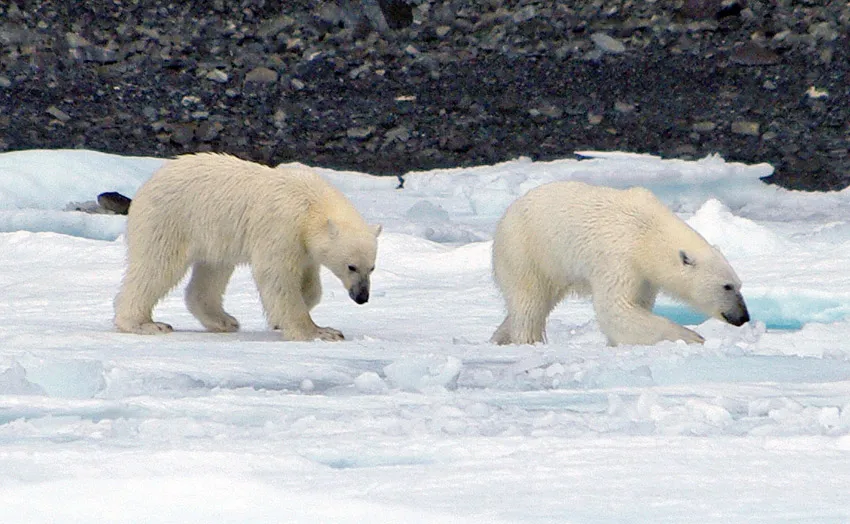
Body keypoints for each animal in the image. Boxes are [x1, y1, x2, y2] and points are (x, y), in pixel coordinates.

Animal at [113, 153, 381, 341]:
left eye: (372, 268)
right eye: (351, 266)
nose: (362, 297)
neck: (311, 204)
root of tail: (146, 184)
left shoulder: (303, 244)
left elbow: (310, 283)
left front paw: (283, 317)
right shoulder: (281, 227)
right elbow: (276, 275)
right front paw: (319, 332)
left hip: (213, 235)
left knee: (212, 272)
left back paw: (223, 321)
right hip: (170, 220)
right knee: (157, 266)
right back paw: (144, 324)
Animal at [490, 181, 749, 346]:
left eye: (739, 285)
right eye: (727, 286)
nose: (743, 317)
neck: (647, 234)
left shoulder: (645, 276)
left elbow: (637, 305)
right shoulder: (619, 258)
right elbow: (615, 308)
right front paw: (692, 337)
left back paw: (499, 338)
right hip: (527, 251)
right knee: (529, 303)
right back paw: (527, 341)